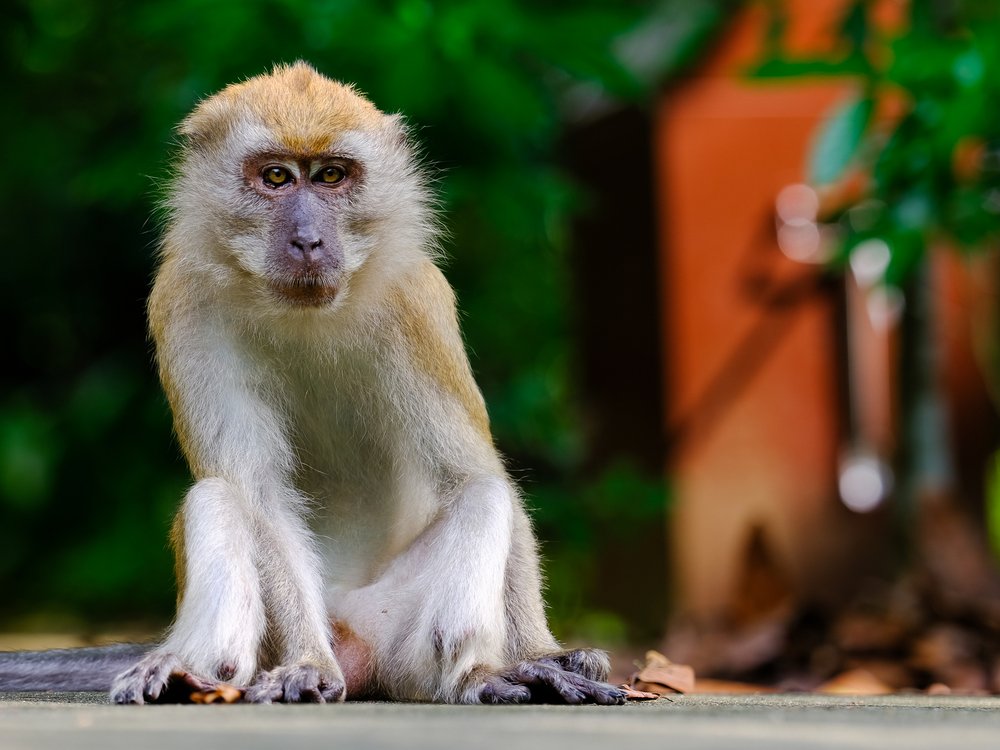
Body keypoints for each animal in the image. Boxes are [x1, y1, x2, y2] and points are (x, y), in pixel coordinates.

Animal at [0, 62, 625, 706]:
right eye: (276, 176)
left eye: (330, 176)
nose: (306, 240)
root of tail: (353, 642)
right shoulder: (185, 304)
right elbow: (257, 493)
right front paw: (307, 661)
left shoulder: (417, 302)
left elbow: (471, 474)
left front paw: (543, 655)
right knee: (220, 497)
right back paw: (190, 673)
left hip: (396, 644)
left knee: (481, 497)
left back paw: (483, 676)